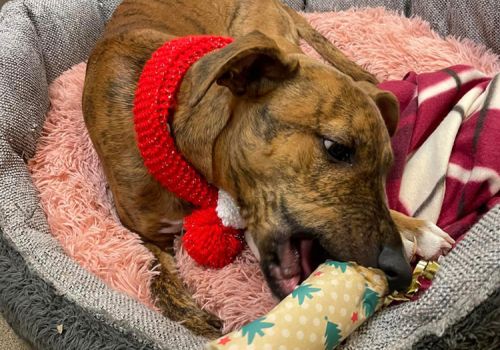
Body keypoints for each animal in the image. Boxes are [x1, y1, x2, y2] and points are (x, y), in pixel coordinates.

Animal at [82, 0, 454, 340]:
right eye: (336, 148)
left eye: (386, 169)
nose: (401, 271)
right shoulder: (141, 230)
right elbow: (157, 272)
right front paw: (190, 312)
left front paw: (414, 227)